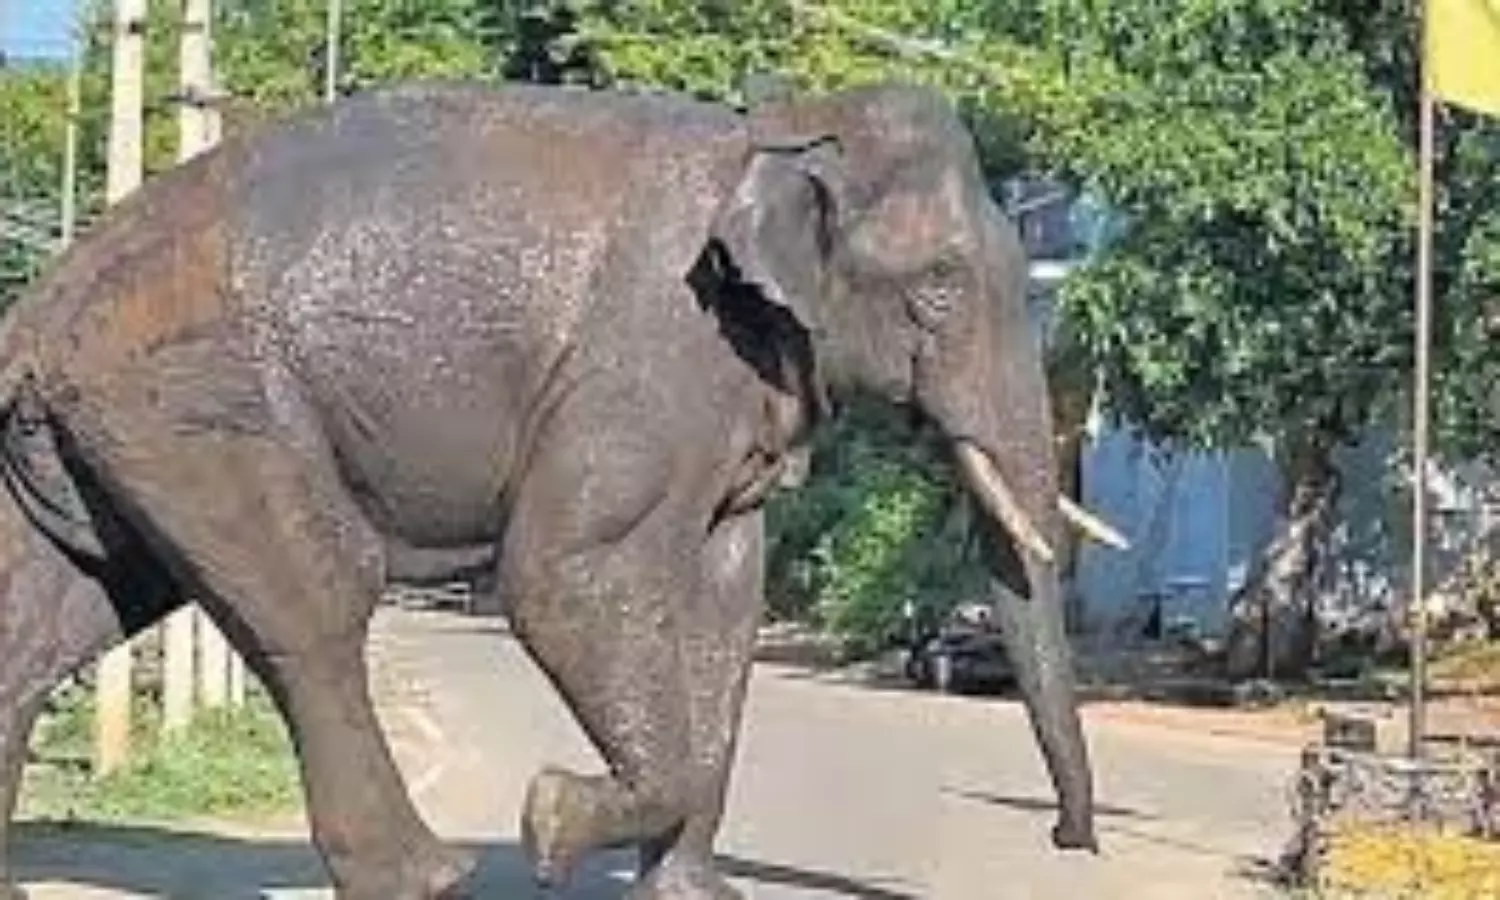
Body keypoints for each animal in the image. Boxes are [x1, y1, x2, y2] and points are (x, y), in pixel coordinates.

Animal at [0, 79, 1125, 899]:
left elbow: (726, 597)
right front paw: (548, 822)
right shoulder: (653, 355)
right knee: (318, 606)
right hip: (198, 395)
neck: (778, 130)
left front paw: (692, 893)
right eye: (939, 288)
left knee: (53, 623)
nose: (1070, 841)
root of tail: (35, 309)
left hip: (103, 433)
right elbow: (566, 572)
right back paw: (431, 876)